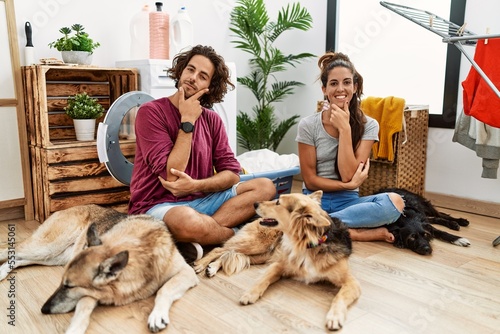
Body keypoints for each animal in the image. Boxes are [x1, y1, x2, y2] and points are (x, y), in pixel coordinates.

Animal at [240, 190, 362, 332]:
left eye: (278, 202)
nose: (254, 203)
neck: (308, 244)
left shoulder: (350, 281)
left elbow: (339, 297)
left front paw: (334, 317)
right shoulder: (279, 264)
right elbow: (264, 278)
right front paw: (250, 294)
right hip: (257, 245)